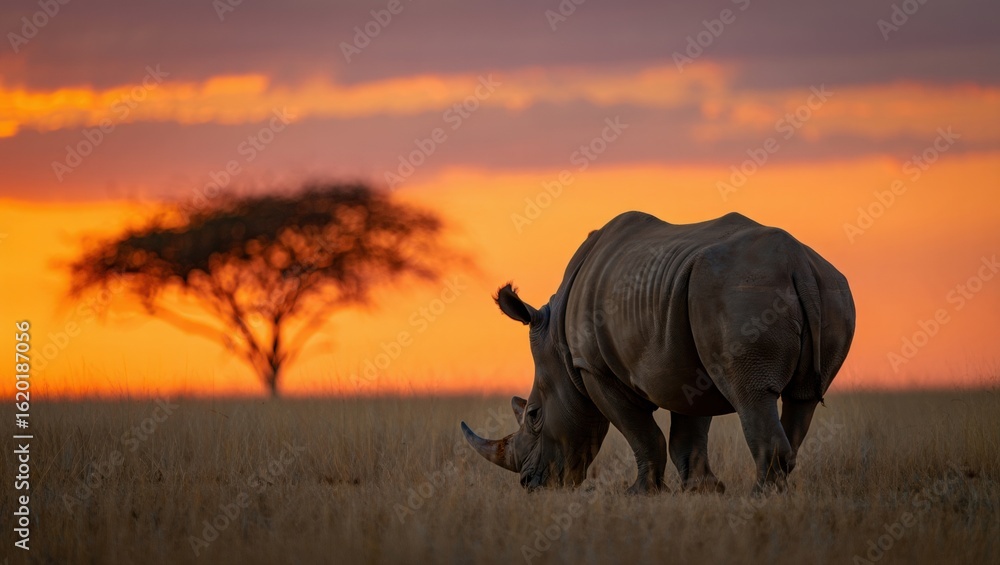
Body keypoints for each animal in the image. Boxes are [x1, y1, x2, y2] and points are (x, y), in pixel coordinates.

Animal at [462, 211, 855, 494]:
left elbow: (643, 434)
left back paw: (759, 496)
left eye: (533, 415)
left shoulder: (593, 369)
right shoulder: (690, 369)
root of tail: (797, 263)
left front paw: (639, 493)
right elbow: (687, 434)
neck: (558, 347)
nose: (529, 485)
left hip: (739, 291)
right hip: (829, 288)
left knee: (752, 395)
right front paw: (704, 491)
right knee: (802, 399)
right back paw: (777, 489)